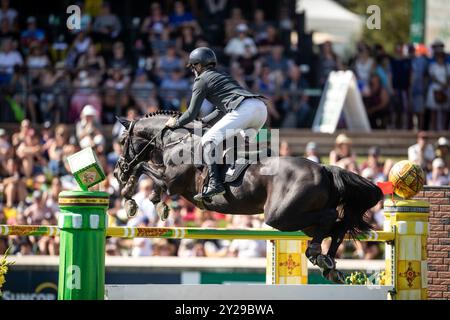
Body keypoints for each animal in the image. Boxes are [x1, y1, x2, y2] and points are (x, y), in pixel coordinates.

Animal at [113, 110, 384, 282]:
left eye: (123, 140)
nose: (117, 172)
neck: (176, 140)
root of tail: (325, 168)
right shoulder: (171, 181)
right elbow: (149, 173)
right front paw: (151, 202)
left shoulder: (173, 181)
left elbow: (145, 168)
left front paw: (131, 197)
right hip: (300, 221)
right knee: (336, 226)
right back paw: (326, 262)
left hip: (281, 216)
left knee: (330, 219)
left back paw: (318, 254)